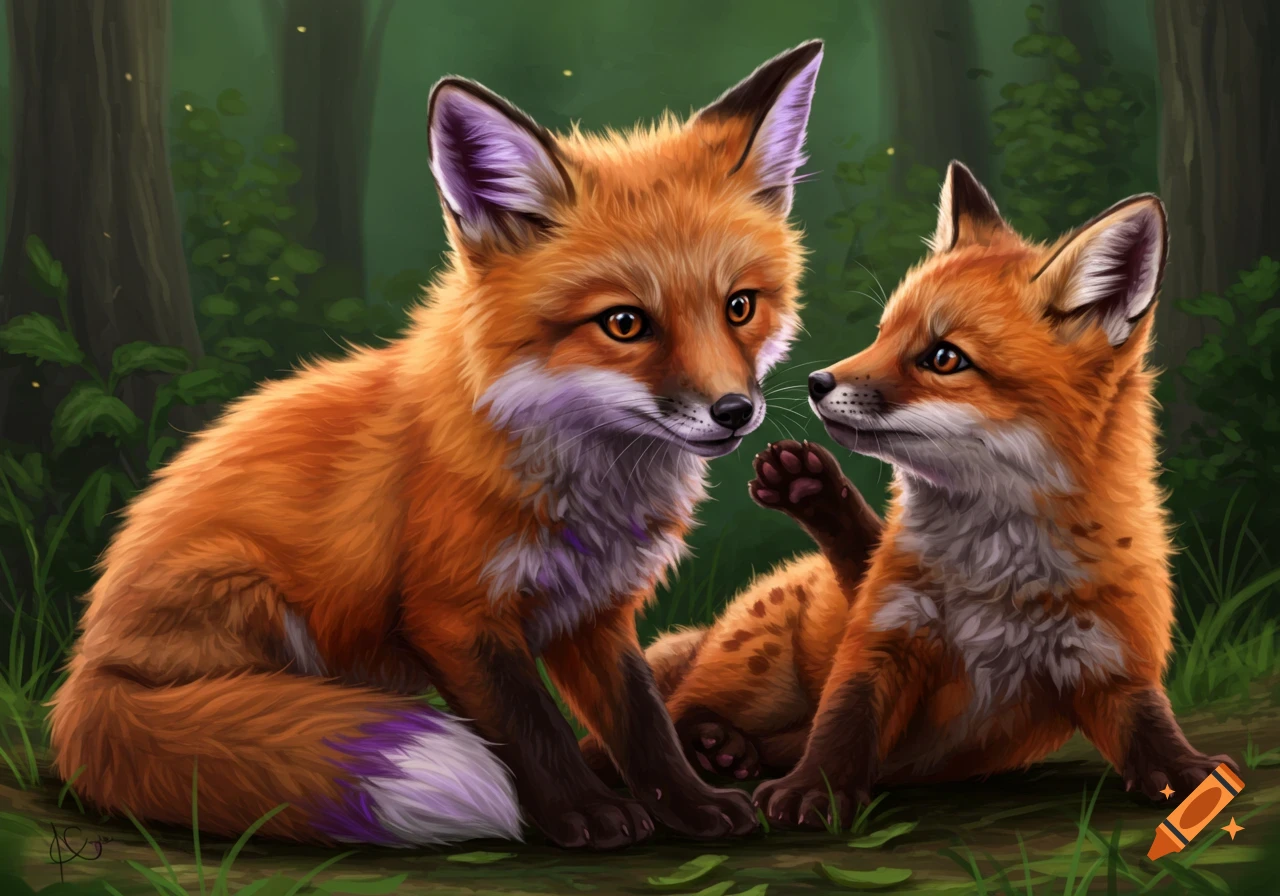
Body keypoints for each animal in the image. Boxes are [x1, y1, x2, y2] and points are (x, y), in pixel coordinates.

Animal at [47, 41, 829, 849]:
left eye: (739, 306)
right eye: (624, 323)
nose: (735, 412)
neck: (583, 487)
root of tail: (85, 671)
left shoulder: (595, 613)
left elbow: (641, 722)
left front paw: (692, 804)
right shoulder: (453, 616)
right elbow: (533, 728)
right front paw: (584, 813)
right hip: (252, 596)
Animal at [640, 161, 1240, 826]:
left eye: (944, 358)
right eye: (882, 333)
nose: (817, 382)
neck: (995, 579)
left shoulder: (1108, 659)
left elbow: (1150, 726)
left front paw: (1190, 772)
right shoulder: (884, 633)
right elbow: (843, 719)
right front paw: (814, 788)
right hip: (760, 671)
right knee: (674, 712)